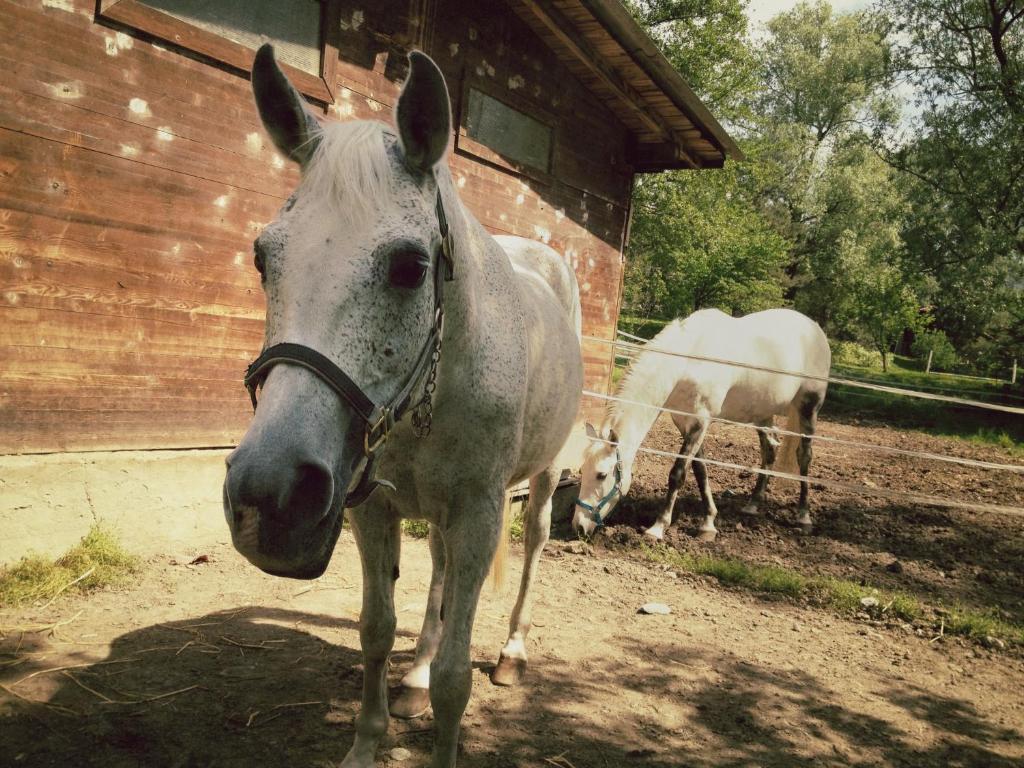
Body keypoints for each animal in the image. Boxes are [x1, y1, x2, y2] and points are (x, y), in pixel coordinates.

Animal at [222, 45, 585, 765]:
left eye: (412, 267)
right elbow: (376, 629)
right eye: (262, 258)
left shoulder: (479, 512)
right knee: (439, 576)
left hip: (542, 478)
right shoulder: (374, 506)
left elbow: (455, 678)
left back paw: (512, 653)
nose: (269, 498)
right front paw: (368, 740)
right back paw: (412, 678)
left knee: (534, 546)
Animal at [573, 307, 827, 540]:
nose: (579, 526)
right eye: (582, 470)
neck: (688, 361)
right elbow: (699, 470)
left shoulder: (700, 422)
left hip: (808, 408)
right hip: (763, 413)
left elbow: (677, 473)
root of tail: (815, 328)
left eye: (601, 475)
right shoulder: (685, 424)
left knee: (804, 456)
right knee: (769, 451)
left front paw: (658, 527)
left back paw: (804, 517)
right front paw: (708, 524)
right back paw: (753, 504)